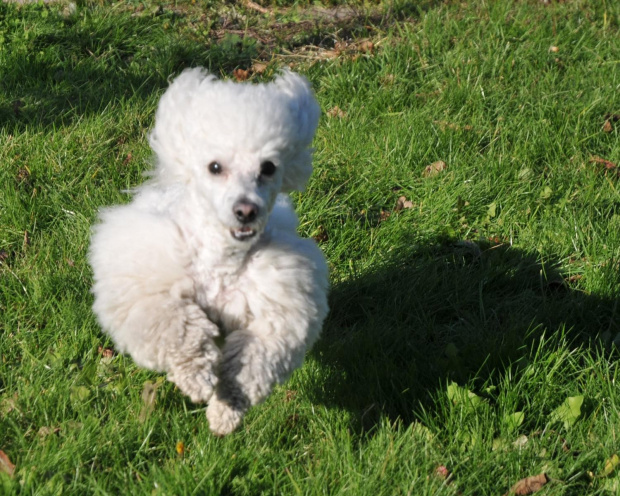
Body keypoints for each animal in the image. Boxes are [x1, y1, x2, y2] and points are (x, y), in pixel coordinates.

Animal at [89, 69, 330, 434]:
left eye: (268, 168)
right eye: (215, 167)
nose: (246, 211)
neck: (222, 261)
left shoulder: (278, 304)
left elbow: (252, 360)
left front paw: (226, 408)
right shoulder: (151, 281)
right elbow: (178, 328)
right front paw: (196, 377)